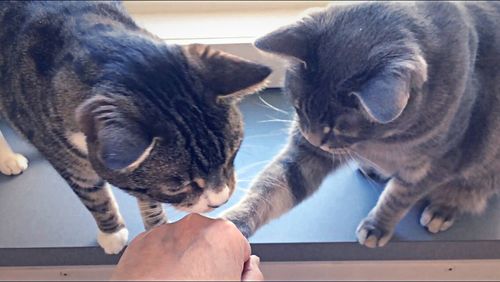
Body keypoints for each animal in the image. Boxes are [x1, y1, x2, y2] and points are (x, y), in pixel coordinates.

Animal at [0, 1, 272, 254]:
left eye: (231, 156)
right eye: (177, 187)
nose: (220, 200)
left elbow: (146, 197)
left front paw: (156, 226)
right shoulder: (64, 154)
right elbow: (94, 196)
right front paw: (113, 234)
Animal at [225, 1, 500, 249]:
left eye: (339, 128)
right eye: (299, 108)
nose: (313, 138)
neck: (379, 142)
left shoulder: (432, 166)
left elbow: (397, 198)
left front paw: (377, 226)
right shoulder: (306, 152)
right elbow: (272, 187)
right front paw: (234, 222)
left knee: (471, 189)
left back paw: (443, 208)